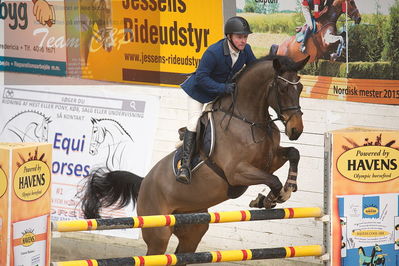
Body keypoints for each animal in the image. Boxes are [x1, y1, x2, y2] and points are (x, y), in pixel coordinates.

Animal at [80, 54, 310, 256]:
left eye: (299, 88)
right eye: (282, 88)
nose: (296, 130)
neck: (249, 120)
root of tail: (144, 182)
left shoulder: (269, 160)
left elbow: (294, 154)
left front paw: (286, 188)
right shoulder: (237, 172)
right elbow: (273, 179)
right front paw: (270, 199)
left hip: (193, 230)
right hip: (159, 233)